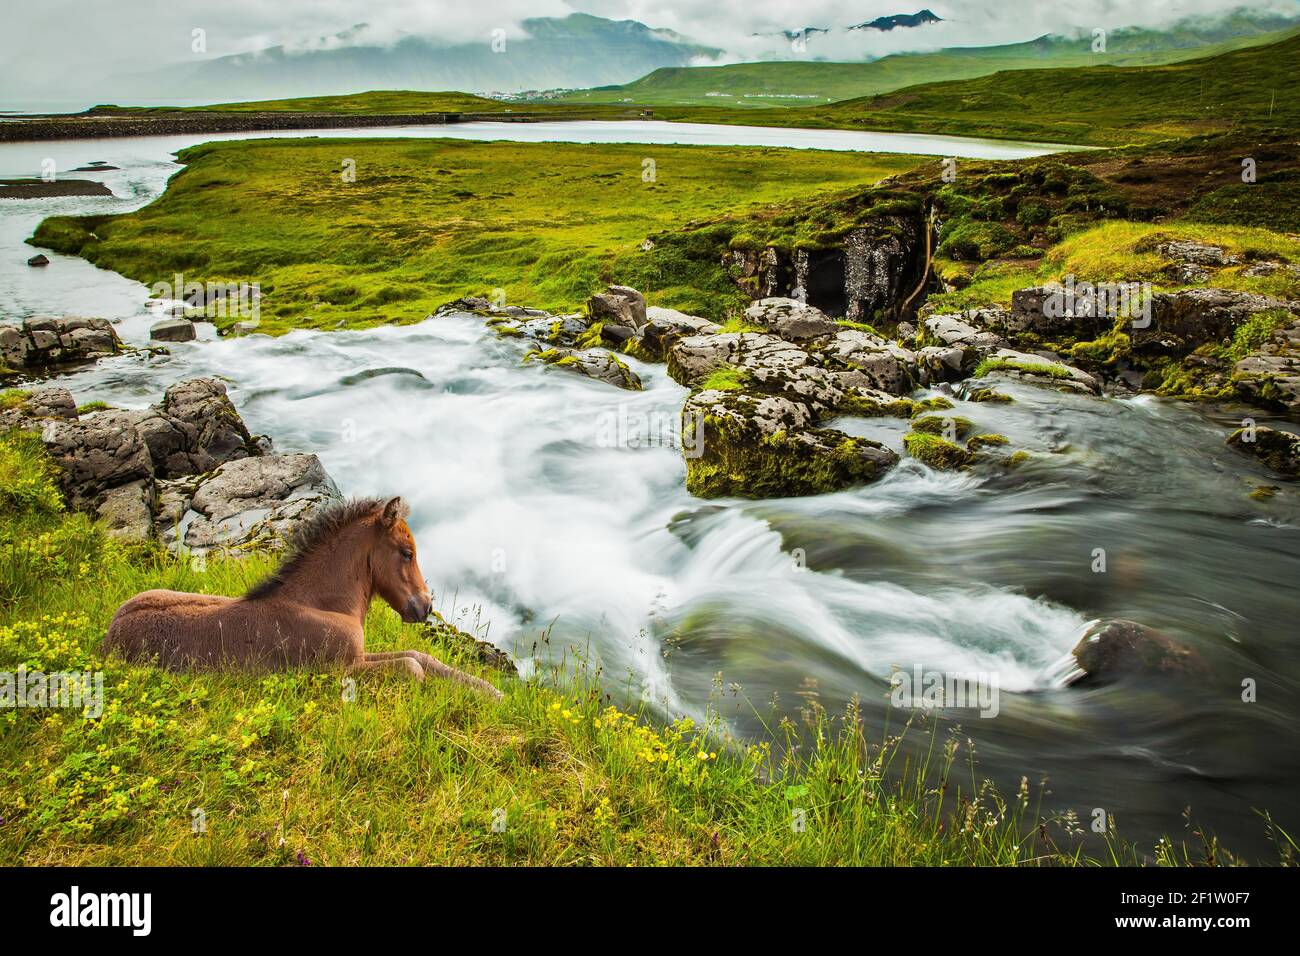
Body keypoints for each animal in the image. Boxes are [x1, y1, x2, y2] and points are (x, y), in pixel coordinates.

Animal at [104, 502, 499, 697]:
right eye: (406, 553)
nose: (425, 606)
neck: (321, 603)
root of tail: (107, 639)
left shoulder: (357, 654)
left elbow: (420, 655)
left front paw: (491, 691)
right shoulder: (340, 669)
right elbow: (412, 667)